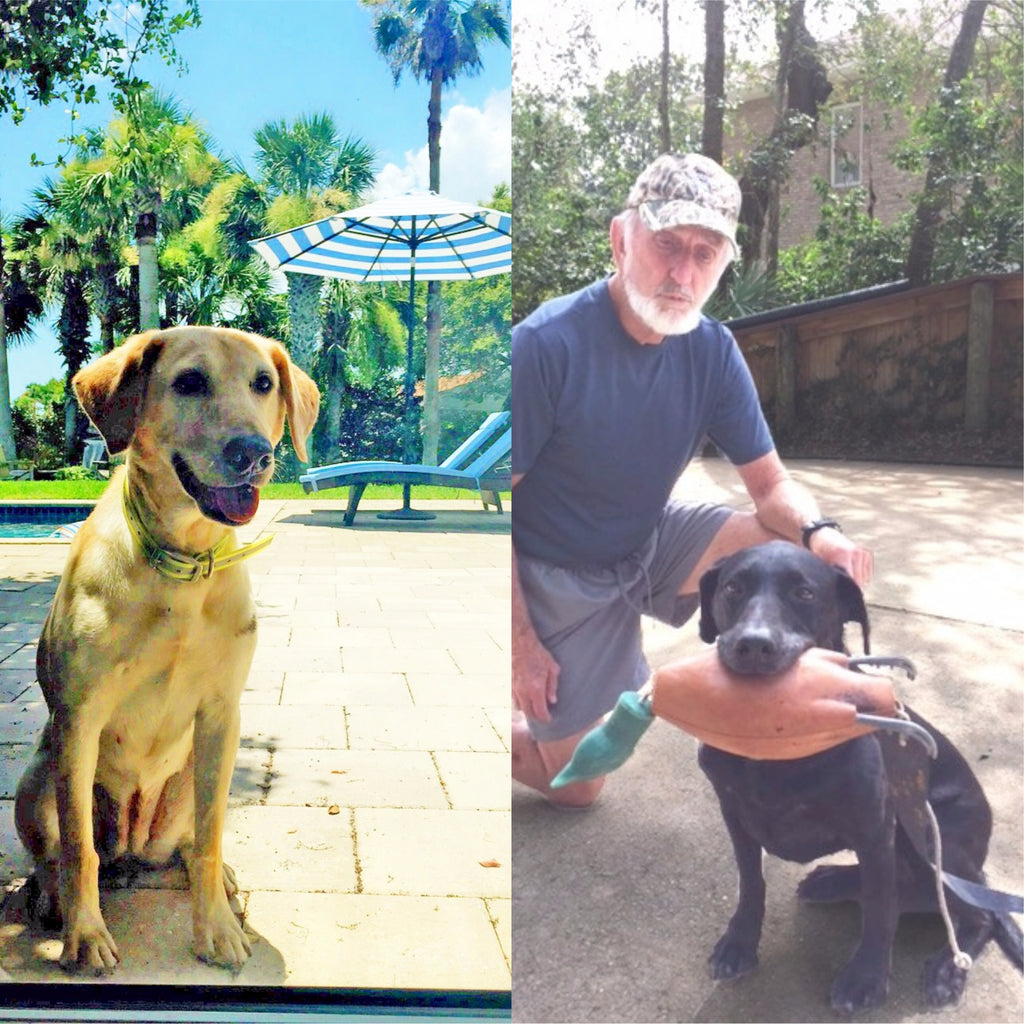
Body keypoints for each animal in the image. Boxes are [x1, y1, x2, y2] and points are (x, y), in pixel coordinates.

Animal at [12, 323, 315, 970]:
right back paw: (48, 897)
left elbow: (210, 836)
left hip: (194, 776)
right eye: (189, 382)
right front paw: (85, 936)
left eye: (264, 384)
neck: (182, 567)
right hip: (40, 778)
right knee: (59, 853)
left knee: (195, 838)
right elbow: (78, 849)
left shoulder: (222, 714)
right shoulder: (79, 719)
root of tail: (133, 844)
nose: (253, 452)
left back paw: (219, 879)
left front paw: (216, 928)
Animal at [696, 540, 1024, 1011]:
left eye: (805, 593)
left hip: (928, 834)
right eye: (733, 588)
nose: (753, 645)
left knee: (973, 911)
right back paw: (833, 881)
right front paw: (739, 942)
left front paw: (865, 978)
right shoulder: (735, 815)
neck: (777, 736)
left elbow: (881, 908)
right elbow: (751, 883)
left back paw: (948, 967)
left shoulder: (875, 829)